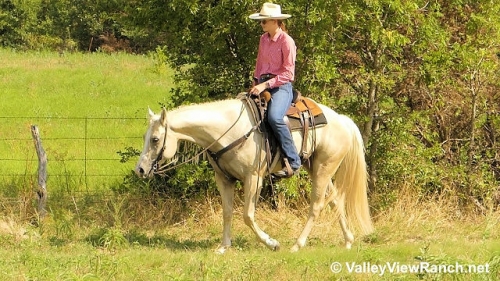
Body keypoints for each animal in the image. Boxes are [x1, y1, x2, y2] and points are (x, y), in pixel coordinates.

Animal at [135, 95, 374, 253]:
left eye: (155, 139)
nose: (140, 169)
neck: (230, 131)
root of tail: (342, 120)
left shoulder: (253, 178)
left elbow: (247, 215)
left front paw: (272, 243)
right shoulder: (224, 180)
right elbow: (227, 213)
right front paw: (224, 247)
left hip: (324, 169)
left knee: (316, 206)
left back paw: (297, 245)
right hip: (316, 169)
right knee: (336, 201)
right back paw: (348, 240)